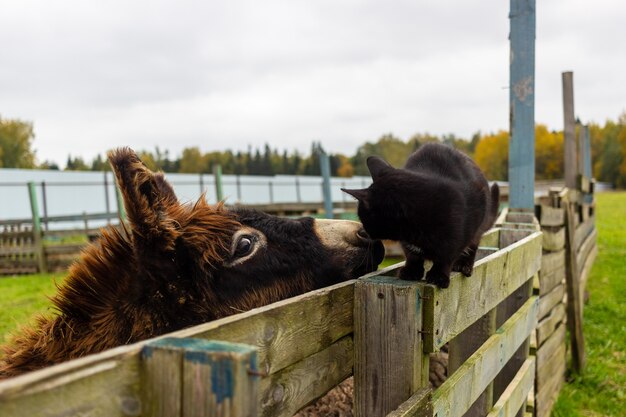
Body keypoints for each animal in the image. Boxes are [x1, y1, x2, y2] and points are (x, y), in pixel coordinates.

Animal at [342, 141, 498, 288]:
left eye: (362, 217)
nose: (363, 231)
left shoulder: (464, 229)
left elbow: (447, 256)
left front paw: (438, 276)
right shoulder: (407, 242)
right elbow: (412, 255)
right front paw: (411, 271)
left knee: (473, 243)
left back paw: (464, 264)